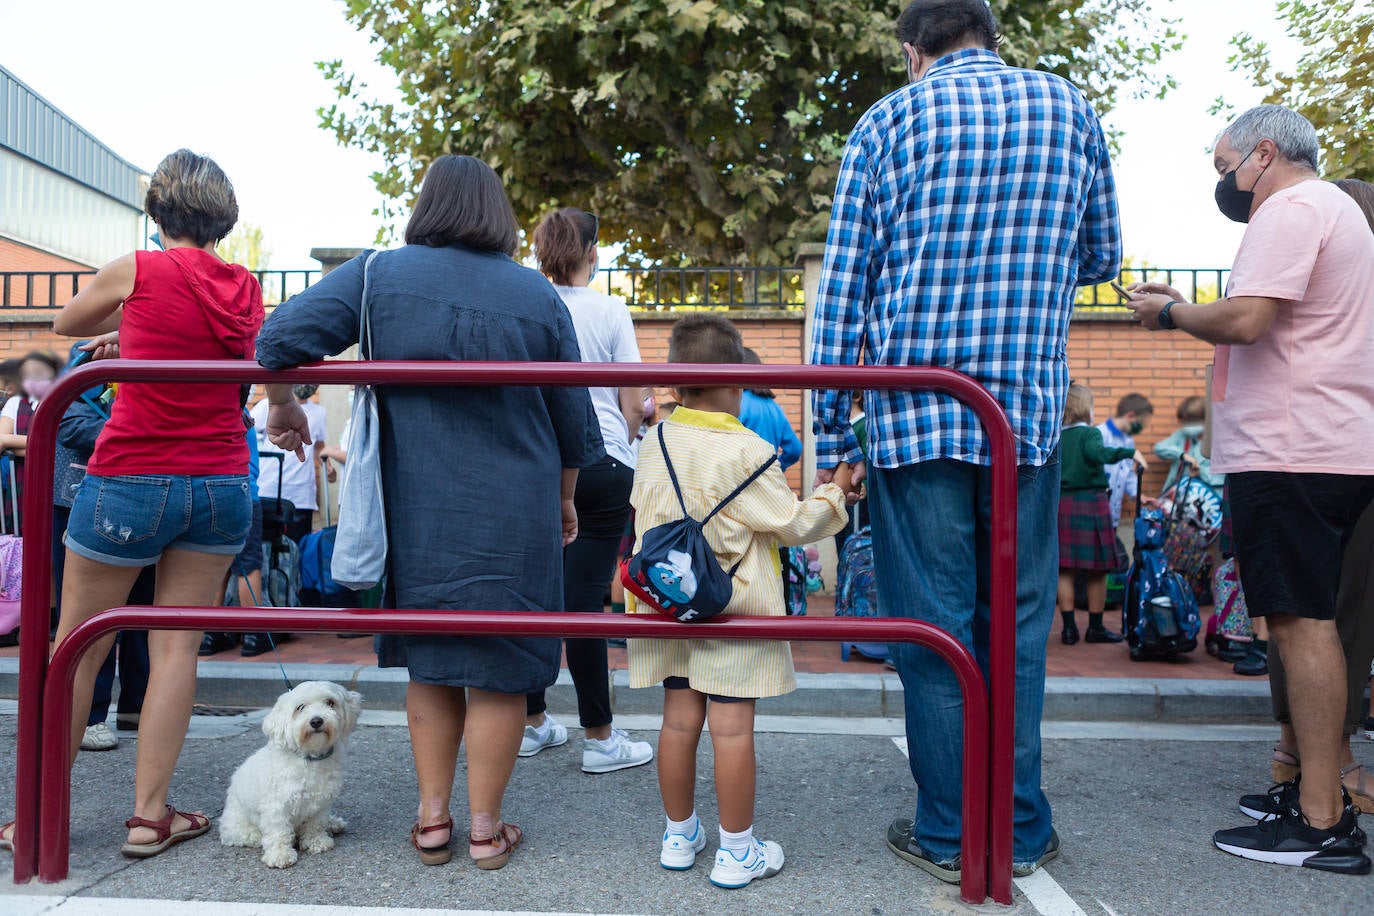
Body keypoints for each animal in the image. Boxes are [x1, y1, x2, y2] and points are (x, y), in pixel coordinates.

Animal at [219, 681, 362, 867]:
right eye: (300, 707)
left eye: (330, 702)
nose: (316, 721)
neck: (310, 759)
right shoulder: (276, 806)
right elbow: (278, 830)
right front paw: (280, 854)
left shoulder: (321, 803)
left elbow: (316, 824)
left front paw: (317, 841)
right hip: (238, 828)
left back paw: (333, 824)